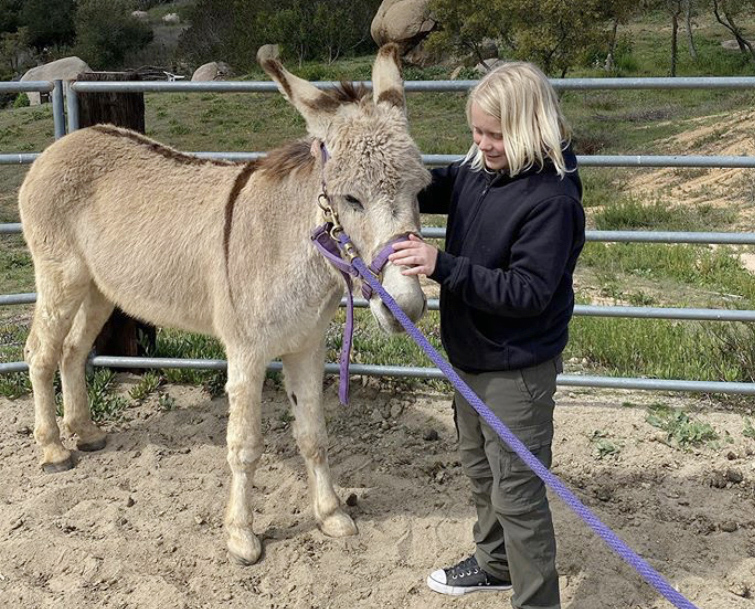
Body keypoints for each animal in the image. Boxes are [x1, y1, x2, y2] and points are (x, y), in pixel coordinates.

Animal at [18, 43, 431, 565]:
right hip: (60, 277)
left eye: (420, 191)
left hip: (100, 288)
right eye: (351, 198)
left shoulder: (307, 346)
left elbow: (313, 435)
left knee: (73, 351)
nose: (407, 307)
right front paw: (241, 536)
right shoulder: (247, 353)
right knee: (41, 352)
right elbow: (244, 446)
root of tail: (66, 142)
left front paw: (331, 515)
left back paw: (86, 432)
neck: (289, 244)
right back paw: (53, 450)